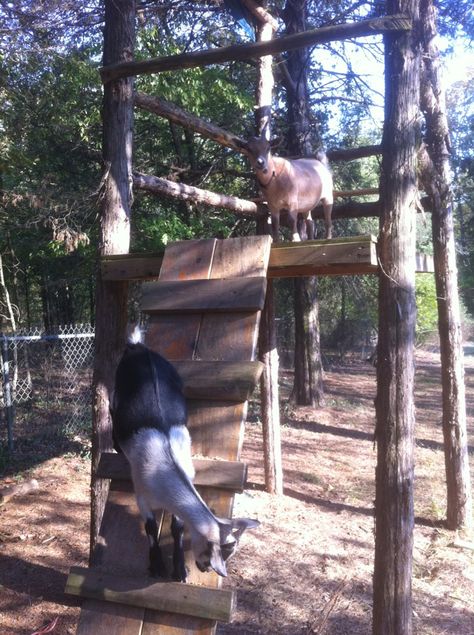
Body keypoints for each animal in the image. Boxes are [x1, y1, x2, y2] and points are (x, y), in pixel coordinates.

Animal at [111, 330, 260, 584]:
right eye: (212, 556)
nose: (204, 569)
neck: (167, 466)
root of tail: (138, 347)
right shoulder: (141, 494)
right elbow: (150, 527)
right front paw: (157, 565)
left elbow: (177, 527)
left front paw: (180, 569)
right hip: (116, 389)